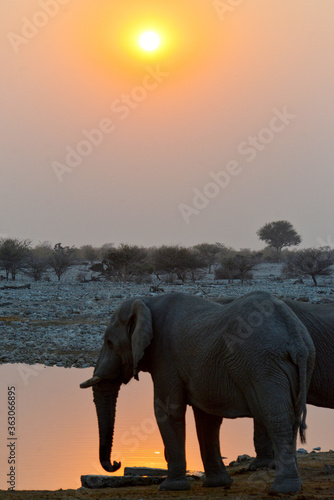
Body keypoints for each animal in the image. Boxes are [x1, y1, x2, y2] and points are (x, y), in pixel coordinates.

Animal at [79, 292, 314, 494]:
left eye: (109, 342)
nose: (117, 463)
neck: (147, 301)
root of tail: (296, 338)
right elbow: (207, 419)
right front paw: (217, 484)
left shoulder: (165, 357)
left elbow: (167, 411)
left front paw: (170, 488)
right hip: (293, 366)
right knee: (291, 421)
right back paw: (293, 486)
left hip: (264, 366)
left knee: (278, 420)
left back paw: (283, 489)